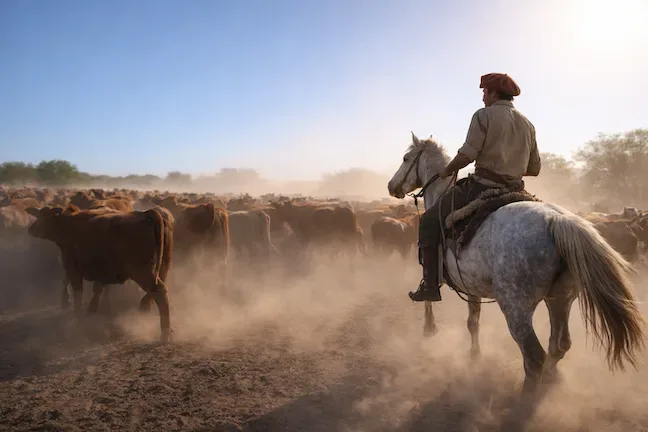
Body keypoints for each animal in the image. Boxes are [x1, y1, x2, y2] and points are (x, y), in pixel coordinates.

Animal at [387, 133, 646, 397]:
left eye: (406, 158)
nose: (391, 186)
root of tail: (557, 220)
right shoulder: (471, 284)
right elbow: (473, 322)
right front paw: (474, 356)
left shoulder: (435, 266)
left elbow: (429, 295)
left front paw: (429, 328)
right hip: (561, 298)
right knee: (559, 344)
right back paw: (551, 380)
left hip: (516, 307)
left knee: (534, 356)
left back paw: (525, 398)